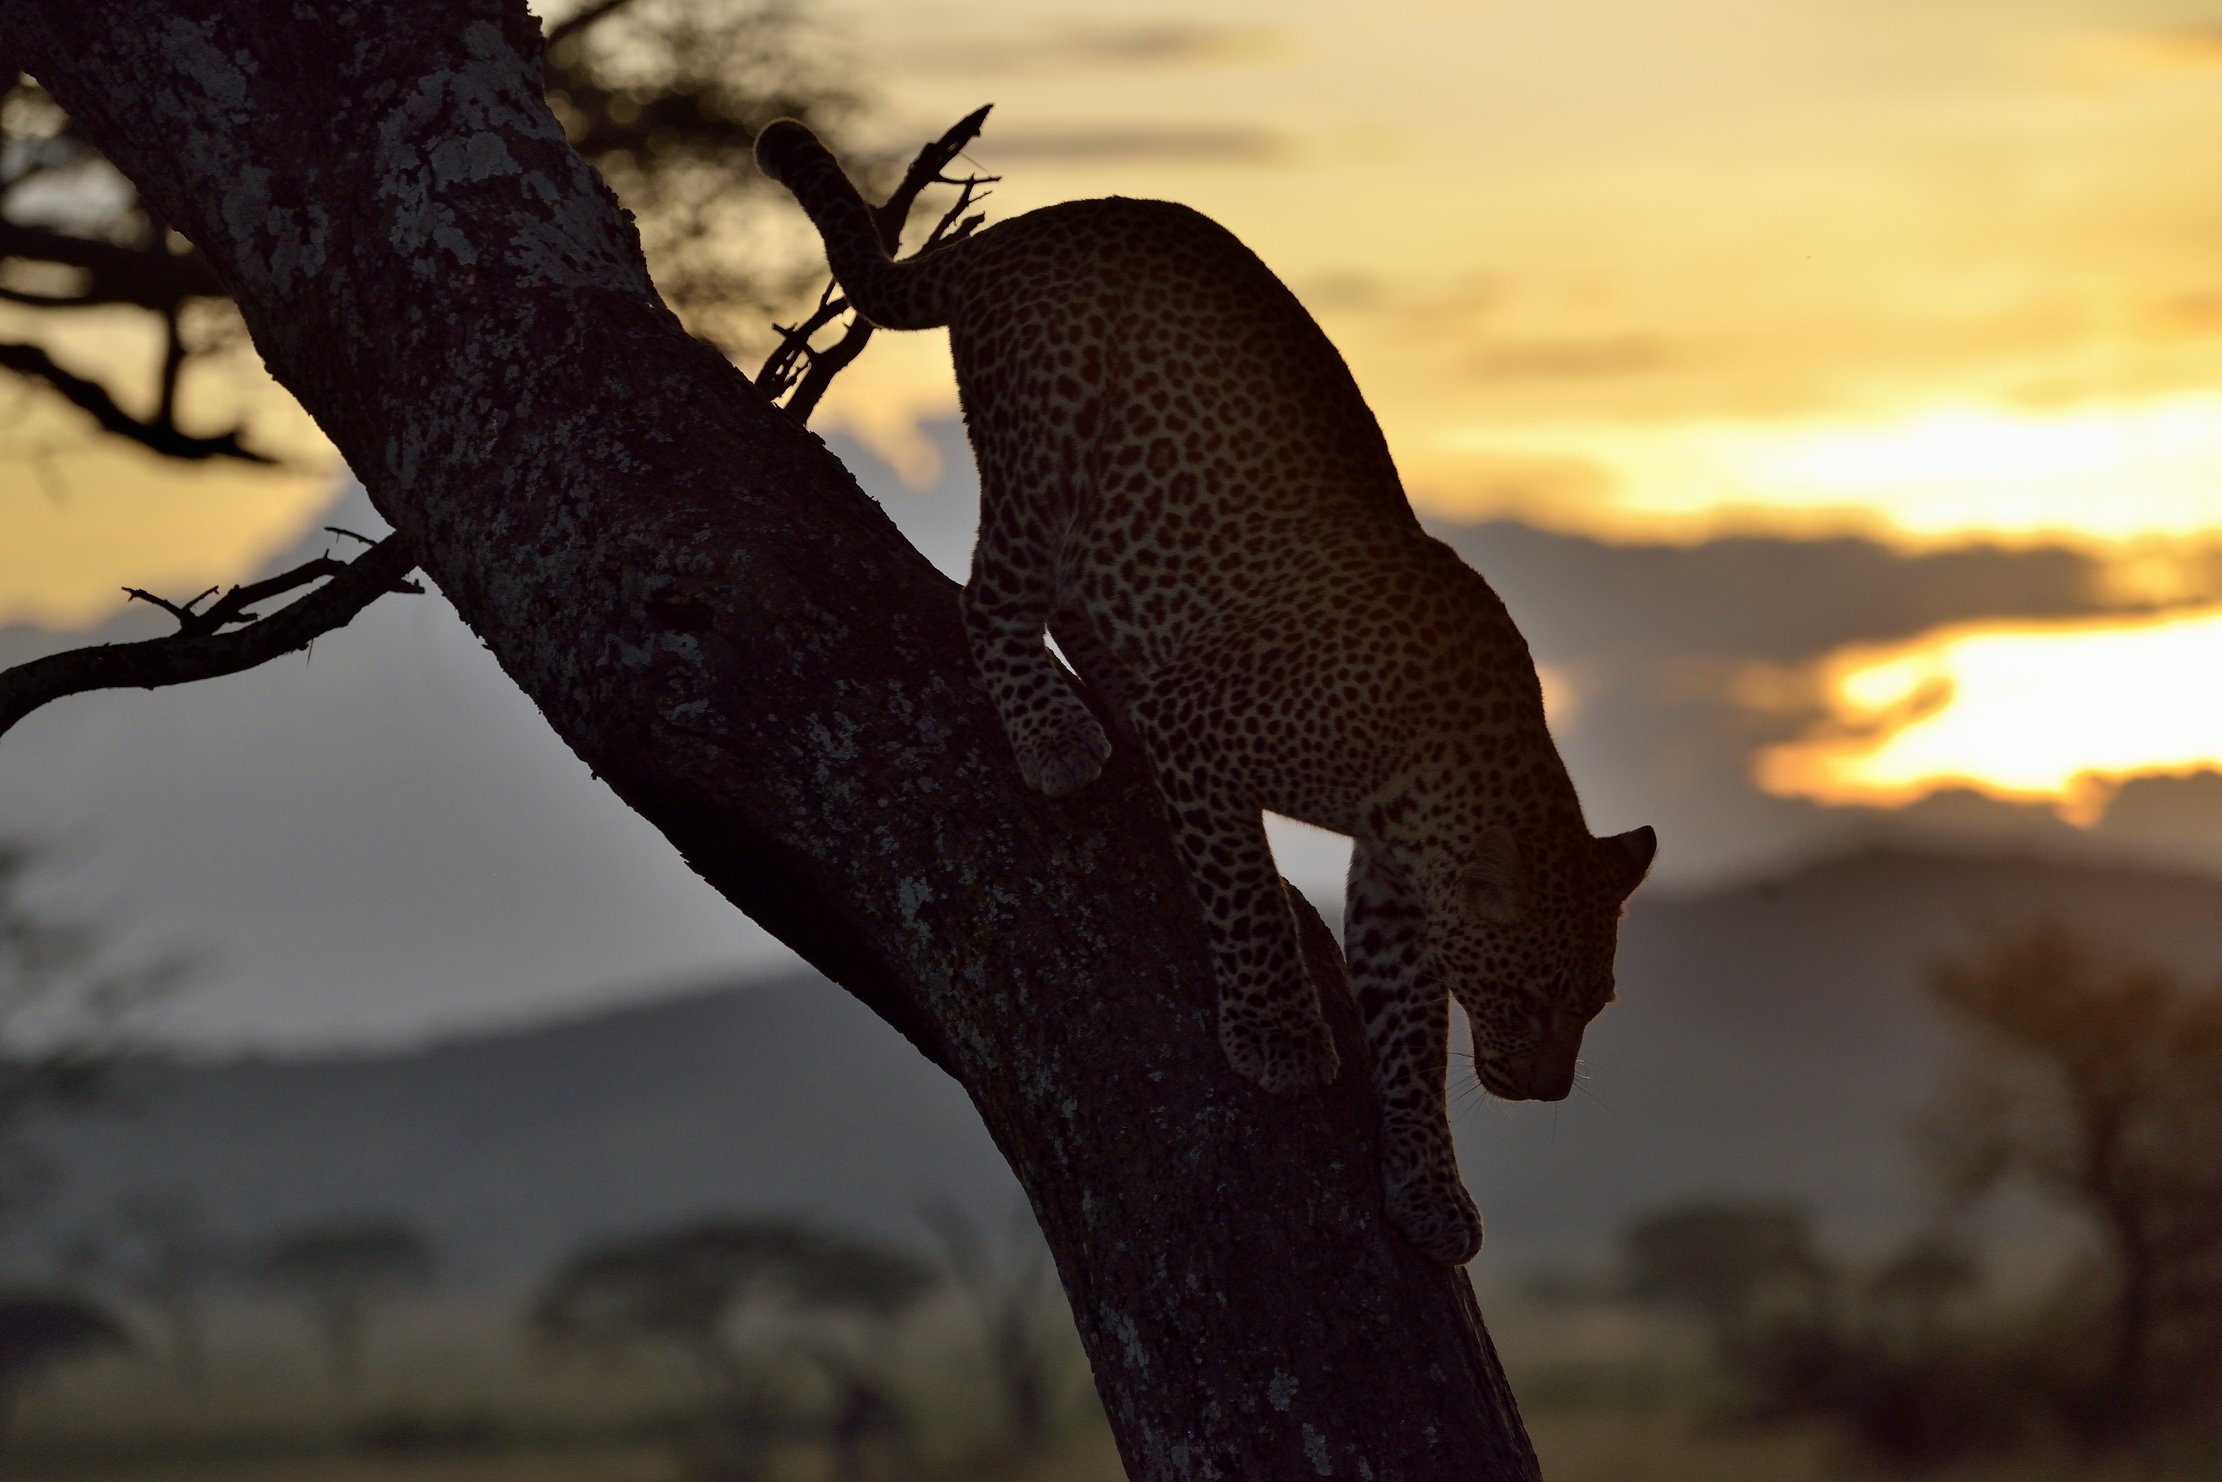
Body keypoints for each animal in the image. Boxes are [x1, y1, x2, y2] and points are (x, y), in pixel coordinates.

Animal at [756, 119, 1656, 1266]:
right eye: (1532, 992)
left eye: (1598, 1002)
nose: (1545, 1091)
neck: (1462, 771)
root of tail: (1030, 228)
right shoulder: (1212, 735)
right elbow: (1243, 898)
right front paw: (1277, 1033)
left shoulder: (1396, 881)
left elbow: (1410, 1033)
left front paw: (1426, 1189)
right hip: (1045, 435)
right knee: (994, 594)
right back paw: (1055, 737)